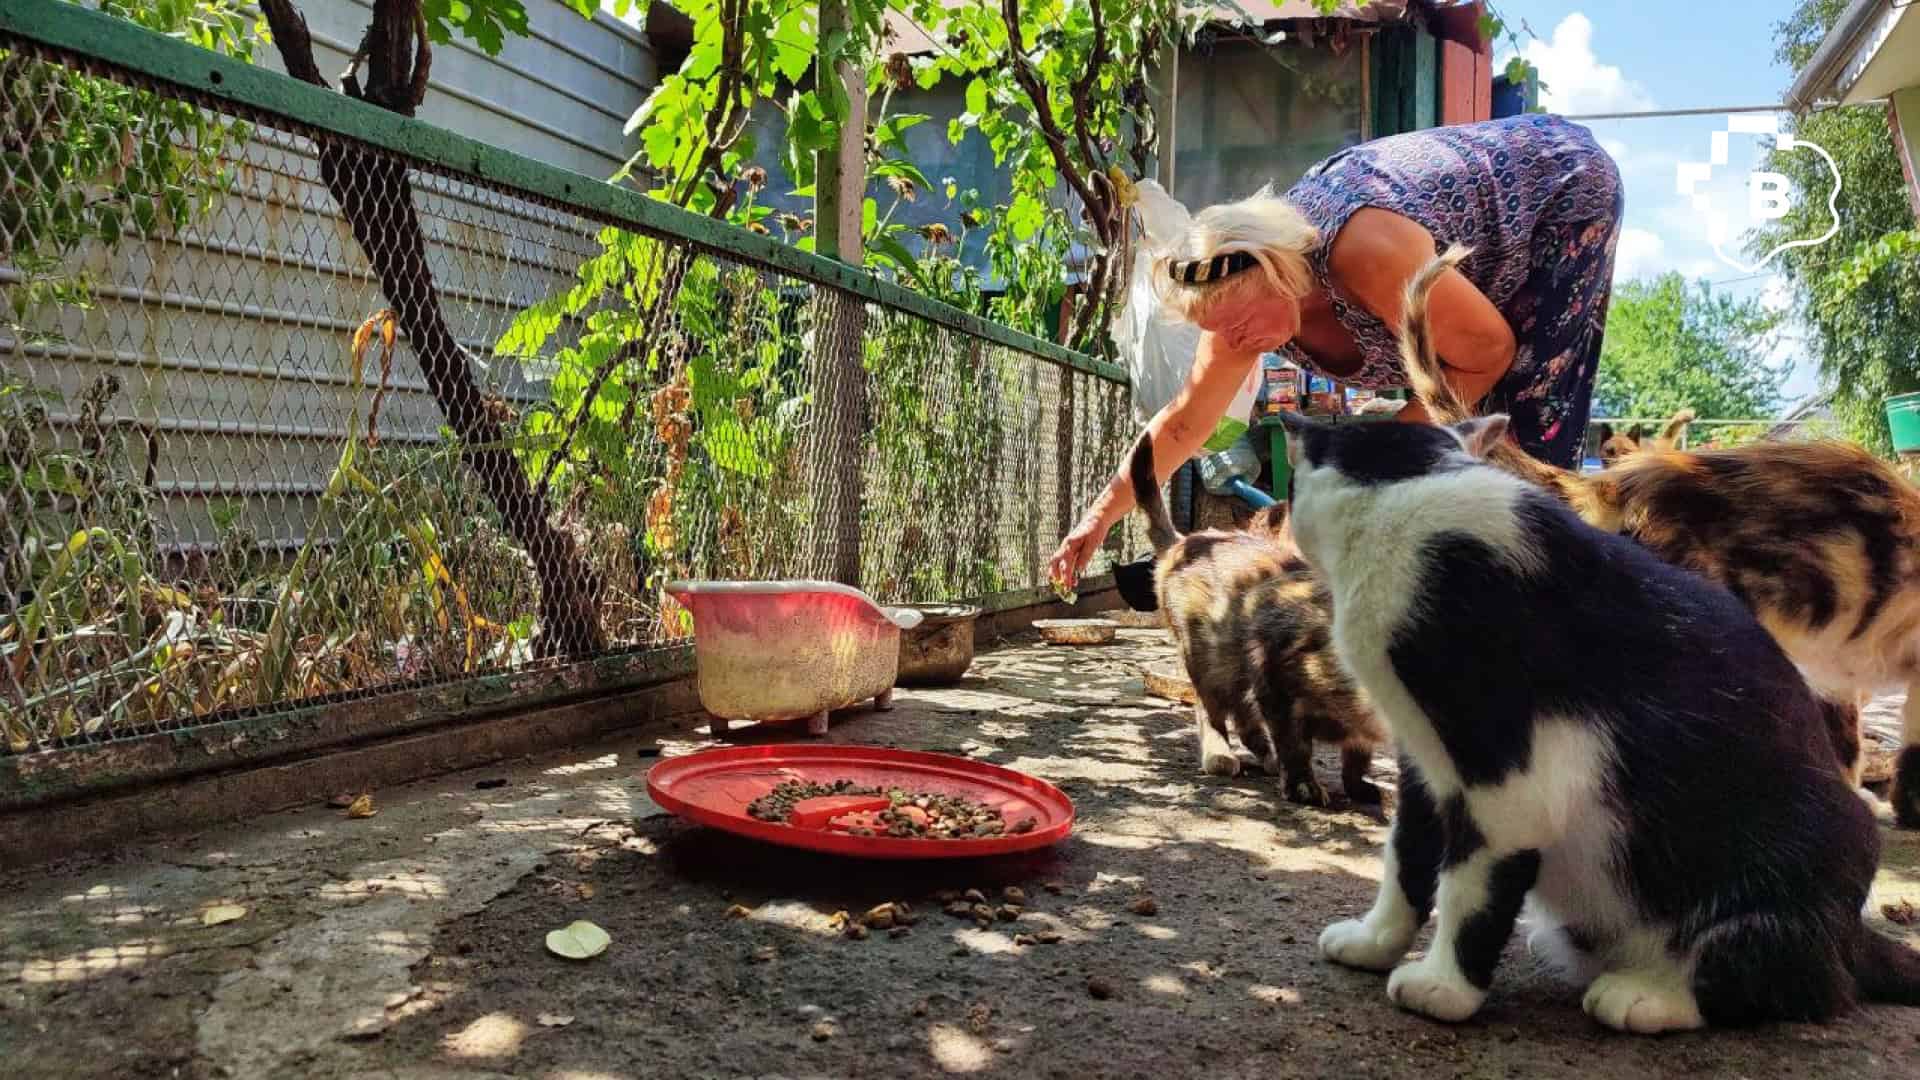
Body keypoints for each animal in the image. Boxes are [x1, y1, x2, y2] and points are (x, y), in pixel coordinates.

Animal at [1121, 432, 1382, 803]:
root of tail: (1184, 541)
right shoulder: (1274, 681)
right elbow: (1294, 743)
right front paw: (1303, 784)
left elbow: (1358, 753)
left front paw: (1357, 785)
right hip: (1208, 660)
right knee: (1212, 711)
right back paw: (1221, 754)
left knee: (1243, 718)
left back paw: (1263, 756)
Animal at [1274, 407, 1920, 1030]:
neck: (1413, 484)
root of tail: (1853, 939)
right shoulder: (1424, 760)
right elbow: (1406, 853)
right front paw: (1376, 941)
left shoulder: (1508, 781)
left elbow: (1469, 885)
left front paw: (1445, 987)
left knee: (1789, 982)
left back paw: (1651, 995)